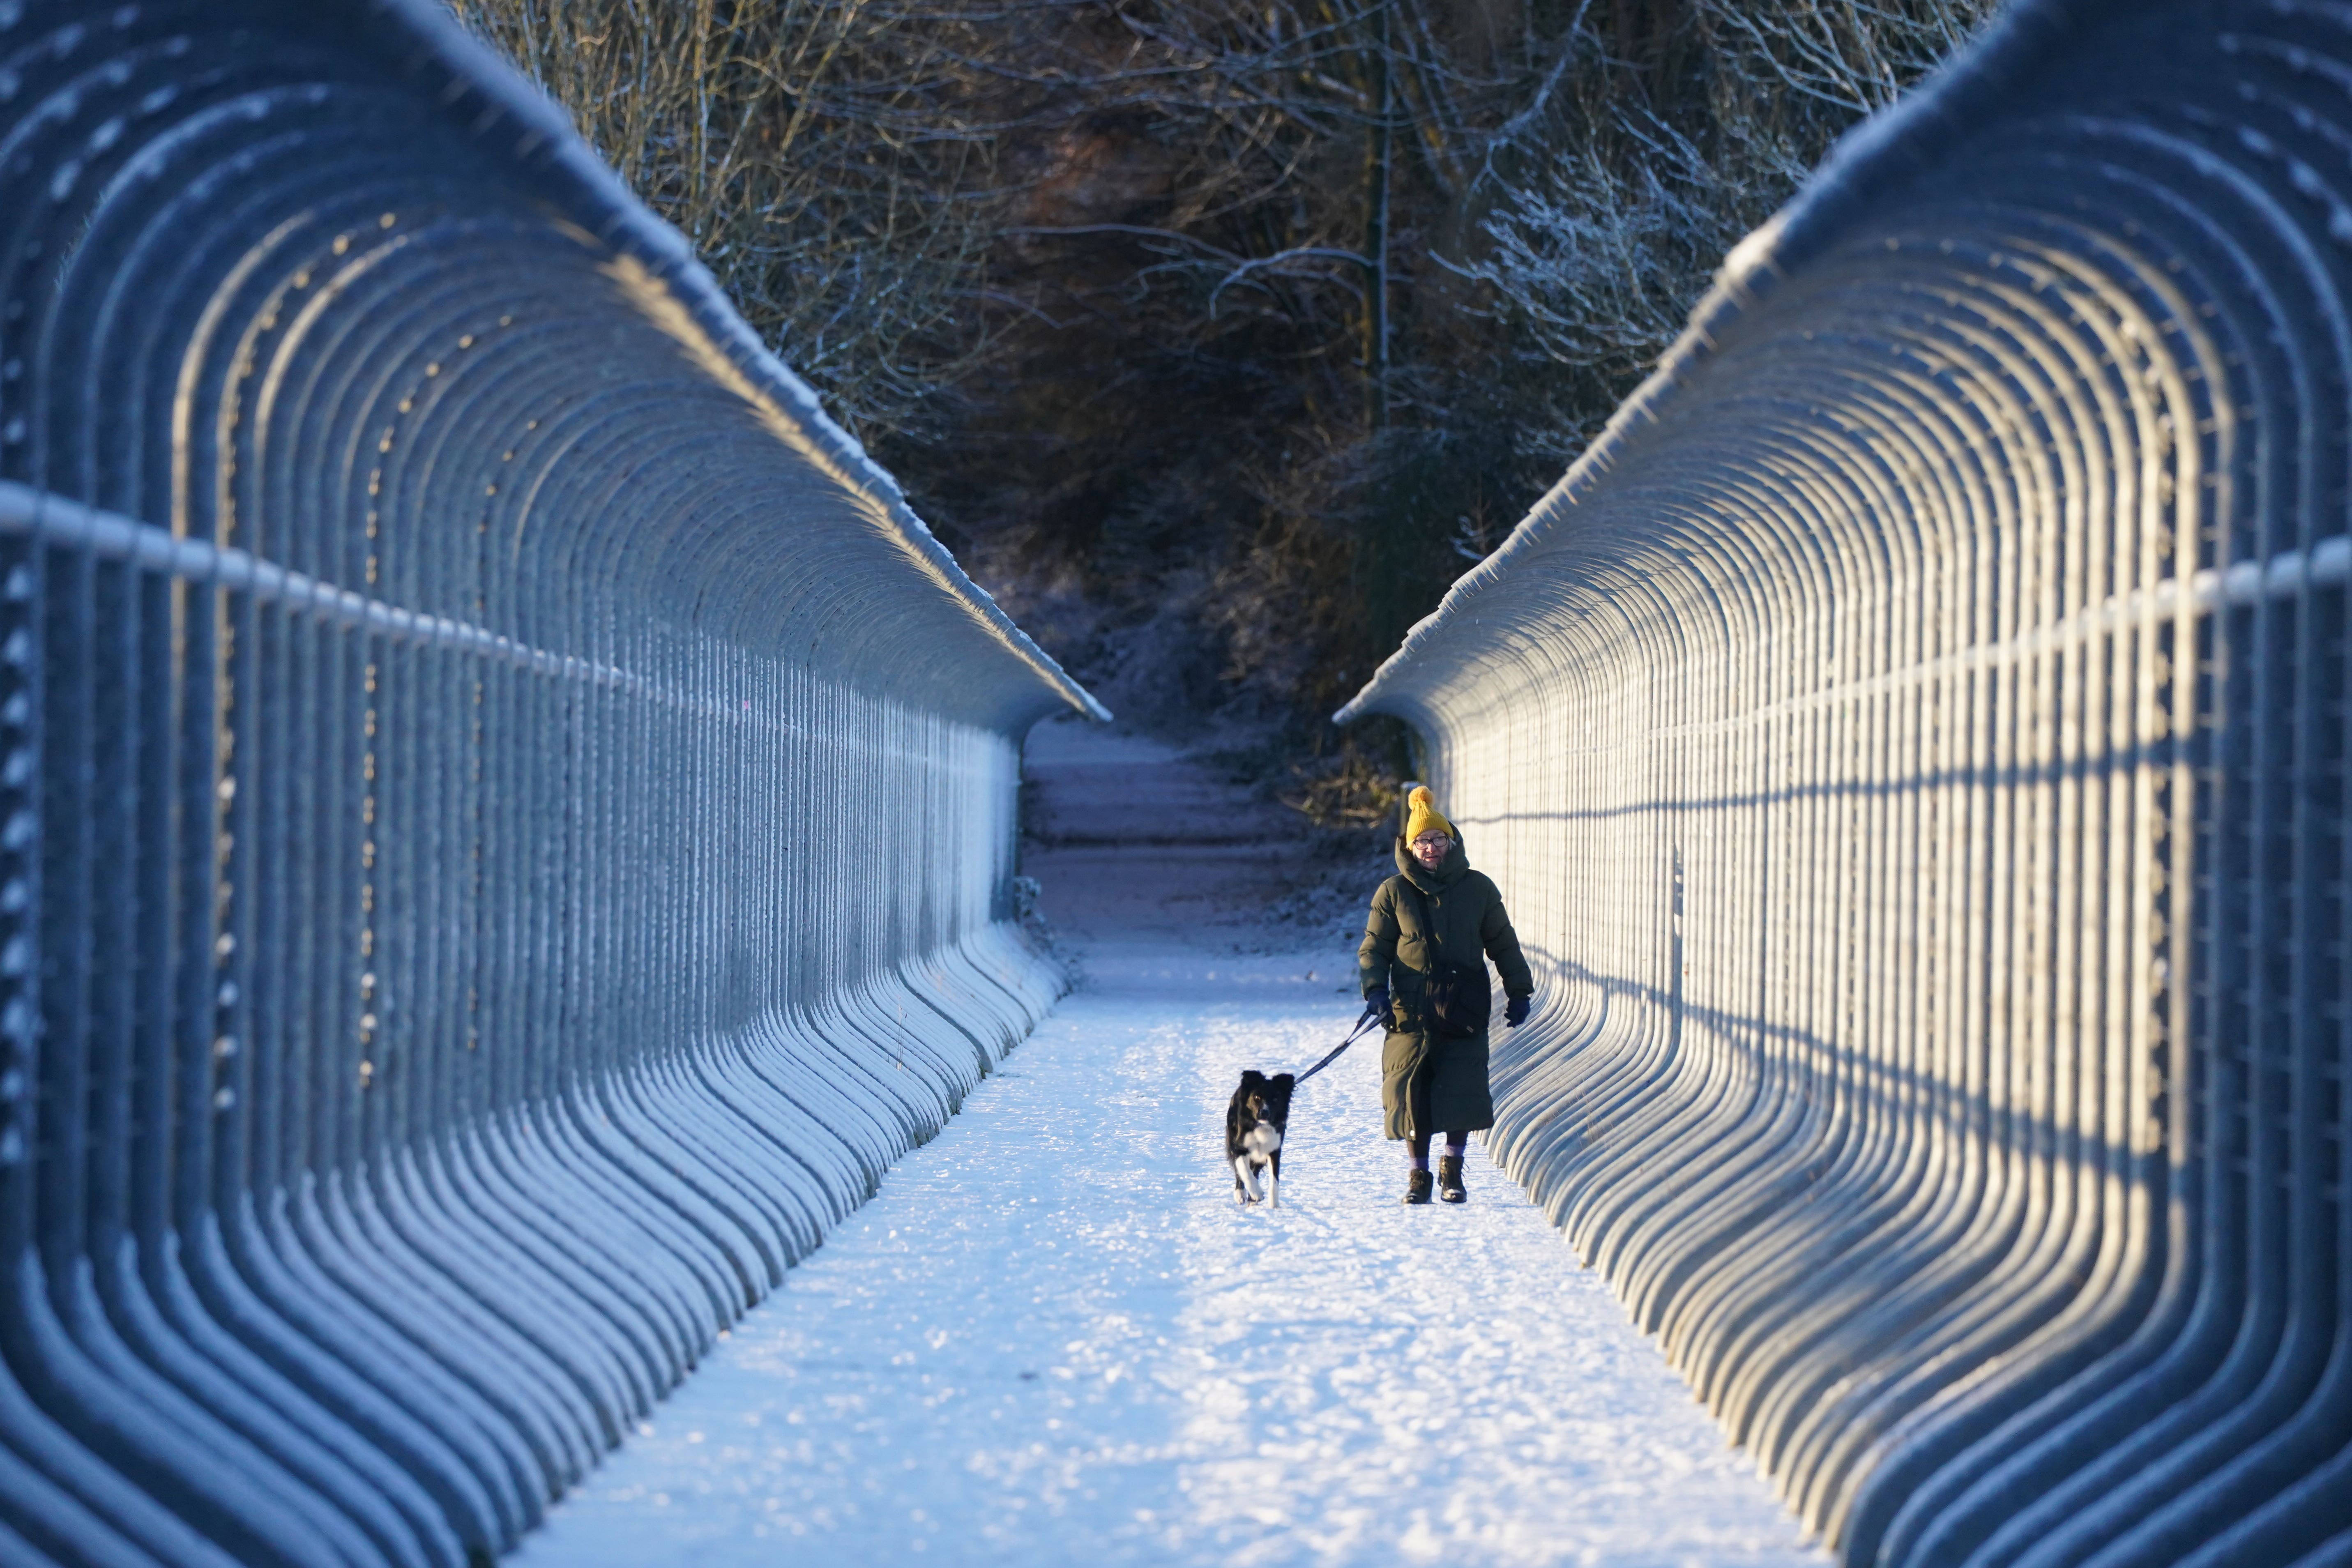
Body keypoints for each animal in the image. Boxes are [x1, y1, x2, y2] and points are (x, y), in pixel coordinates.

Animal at [1223, 1072, 1298, 1213]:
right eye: (1257, 1097)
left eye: (1275, 1099)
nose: (1264, 1113)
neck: (1261, 1127)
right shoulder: (1240, 1146)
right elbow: (1244, 1171)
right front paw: (1256, 1193)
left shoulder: (1274, 1150)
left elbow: (1274, 1181)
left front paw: (1274, 1207)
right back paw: (1241, 1194)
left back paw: (1252, 1202)